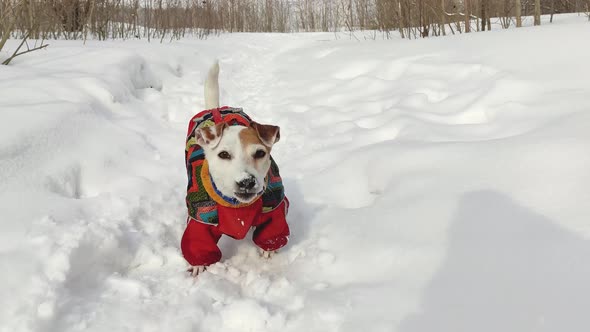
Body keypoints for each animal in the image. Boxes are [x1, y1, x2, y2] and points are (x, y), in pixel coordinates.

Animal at [182, 63, 290, 276]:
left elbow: (272, 229)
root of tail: (215, 109)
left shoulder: (273, 206)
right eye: (223, 154)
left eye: (259, 153)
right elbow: (198, 241)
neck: (237, 206)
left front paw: (268, 250)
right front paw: (199, 265)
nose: (246, 181)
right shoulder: (201, 220)